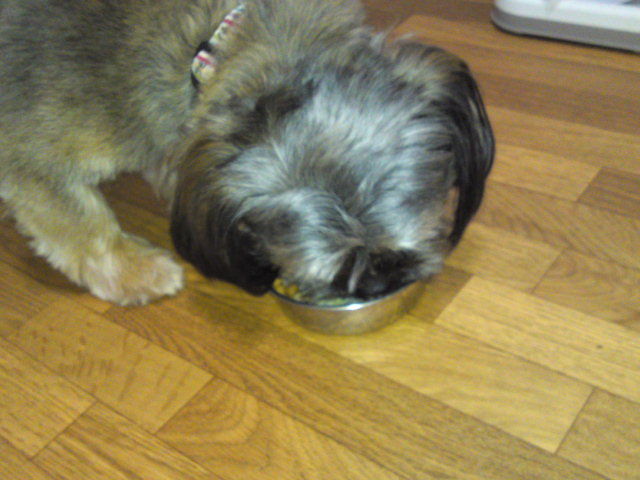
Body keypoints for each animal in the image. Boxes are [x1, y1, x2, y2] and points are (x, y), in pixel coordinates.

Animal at [0, 0, 494, 306]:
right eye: (336, 272)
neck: (208, 42)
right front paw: (134, 270)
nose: (377, 284)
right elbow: (85, 224)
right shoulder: (29, 157)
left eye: (395, 257)